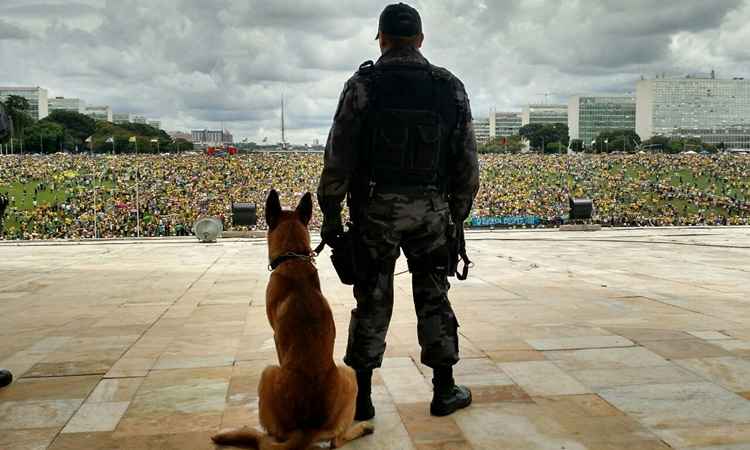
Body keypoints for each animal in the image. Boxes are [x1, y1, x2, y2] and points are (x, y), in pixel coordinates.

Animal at [213, 191, 374, 450]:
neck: (294, 259)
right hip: (348, 374)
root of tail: (307, 429)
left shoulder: (276, 339)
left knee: (274, 438)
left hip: (268, 372)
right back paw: (363, 427)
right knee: (336, 439)